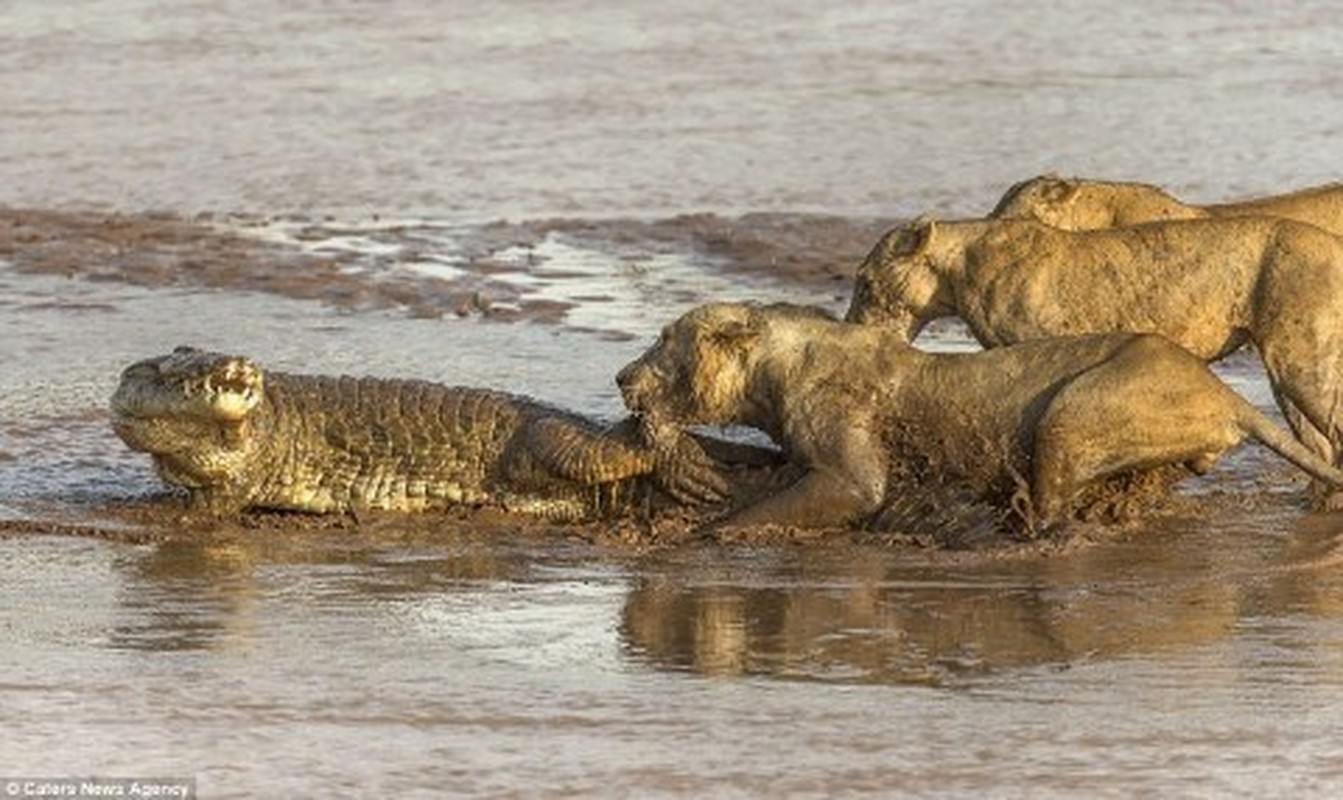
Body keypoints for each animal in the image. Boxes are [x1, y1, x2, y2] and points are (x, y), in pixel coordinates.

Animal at [615, 303, 1343, 534]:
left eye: (664, 339)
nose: (623, 377)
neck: (772, 373)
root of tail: (1224, 395)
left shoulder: (844, 447)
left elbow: (851, 490)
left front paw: (709, 529)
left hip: (1076, 408)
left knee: (1051, 488)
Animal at [843, 216, 1343, 510]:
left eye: (865, 283)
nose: (852, 327)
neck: (957, 269)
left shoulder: (1041, 345)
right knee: (1318, 445)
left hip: (1299, 359)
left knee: (1331, 435)